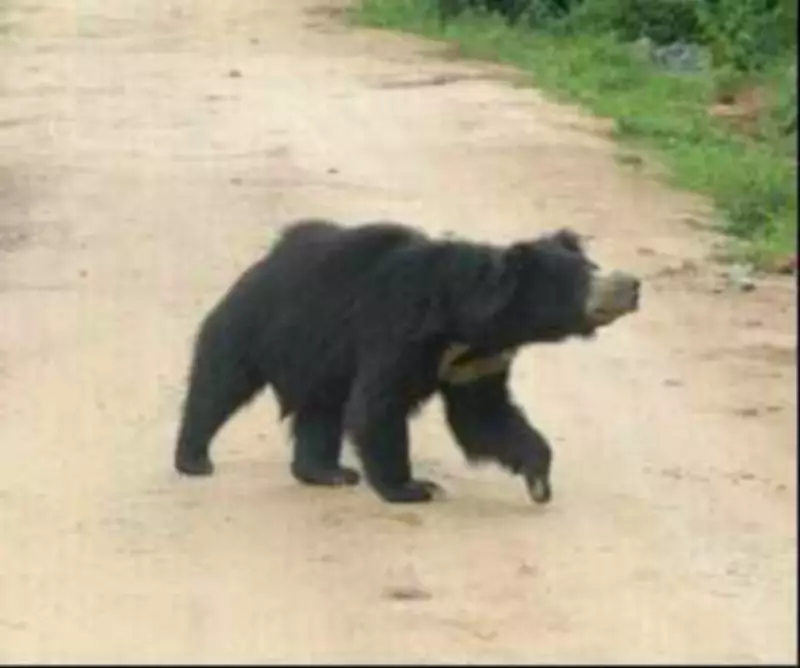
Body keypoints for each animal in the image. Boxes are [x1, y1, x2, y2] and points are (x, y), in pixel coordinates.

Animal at [174, 218, 640, 504]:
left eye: (592, 265)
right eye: (580, 278)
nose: (632, 285)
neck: (467, 322)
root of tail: (268, 257)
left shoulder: (478, 361)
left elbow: (485, 417)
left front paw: (539, 478)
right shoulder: (399, 328)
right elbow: (379, 405)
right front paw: (413, 487)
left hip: (323, 359)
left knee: (321, 411)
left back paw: (327, 472)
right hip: (259, 325)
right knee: (219, 384)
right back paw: (194, 459)